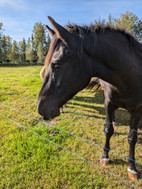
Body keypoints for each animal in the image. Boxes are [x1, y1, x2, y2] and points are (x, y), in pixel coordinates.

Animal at [37, 16, 142, 180]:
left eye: (57, 65)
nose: (40, 108)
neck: (128, 78)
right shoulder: (108, 103)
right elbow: (108, 130)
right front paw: (105, 156)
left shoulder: (137, 109)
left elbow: (132, 138)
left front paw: (132, 167)